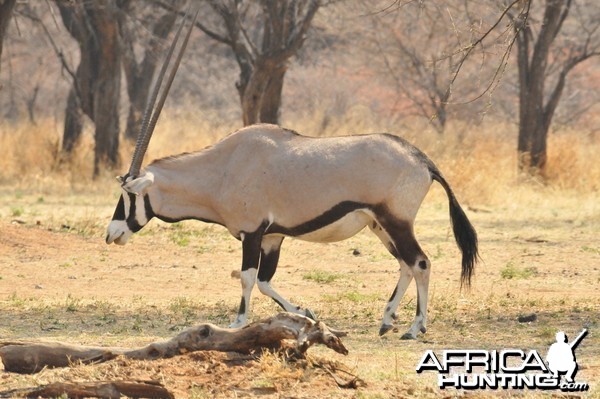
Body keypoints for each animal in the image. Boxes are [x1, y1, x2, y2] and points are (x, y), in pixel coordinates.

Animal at [104, 10, 478, 340]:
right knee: (405, 265)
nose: (112, 234)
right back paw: (387, 321)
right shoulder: (273, 237)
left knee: (420, 263)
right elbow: (265, 280)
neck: (223, 168)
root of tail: (422, 159)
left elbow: (247, 277)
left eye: (129, 195)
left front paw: (239, 322)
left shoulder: (253, 233)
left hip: (396, 221)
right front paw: (304, 311)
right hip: (379, 225)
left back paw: (415, 328)